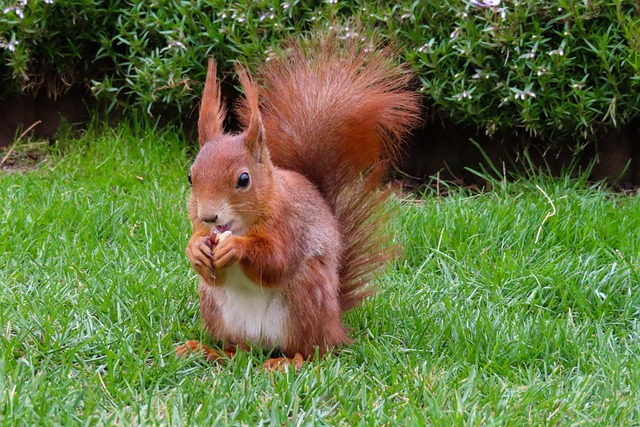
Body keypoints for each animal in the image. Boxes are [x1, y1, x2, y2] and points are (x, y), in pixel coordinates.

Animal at [175, 33, 422, 370]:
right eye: (191, 176)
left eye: (243, 179)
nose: (209, 216)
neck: (241, 225)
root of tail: (335, 324)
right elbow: (211, 270)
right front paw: (195, 249)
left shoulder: (289, 223)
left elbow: (276, 262)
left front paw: (236, 248)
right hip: (216, 308)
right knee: (239, 349)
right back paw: (209, 351)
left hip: (305, 300)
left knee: (315, 352)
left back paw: (286, 362)